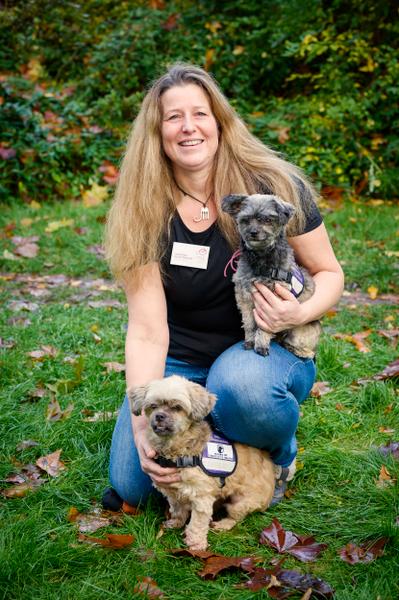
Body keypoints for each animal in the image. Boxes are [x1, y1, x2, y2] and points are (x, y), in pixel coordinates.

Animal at [130, 378, 276, 552]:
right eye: (153, 406)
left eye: (177, 407)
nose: (159, 416)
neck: (177, 450)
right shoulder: (173, 492)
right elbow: (178, 509)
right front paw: (176, 522)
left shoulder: (201, 497)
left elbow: (197, 524)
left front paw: (195, 545)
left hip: (240, 503)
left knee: (236, 517)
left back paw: (223, 524)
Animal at [222, 195, 322, 358]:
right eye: (245, 220)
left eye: (267, 220)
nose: (253, 232)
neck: (261, 258)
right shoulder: (244, 297)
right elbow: (249, 323)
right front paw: (250, 341)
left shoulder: (274, 304)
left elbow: (264, 326)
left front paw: (261, 344)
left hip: (302, 329)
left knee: (306, 349)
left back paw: (298, 350)